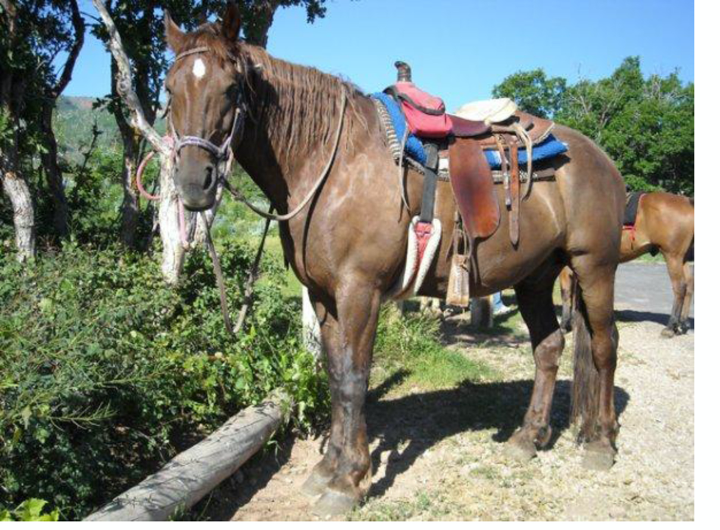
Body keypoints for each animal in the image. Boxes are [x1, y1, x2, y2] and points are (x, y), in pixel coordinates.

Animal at [162, 6, 624, 512]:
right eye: (169, 89)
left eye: (230, 88)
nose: (194, 183)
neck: (334, 162)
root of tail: (599, 157)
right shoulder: (324, 295)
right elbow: (335, 374)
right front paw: (328, 469)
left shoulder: (359, 291)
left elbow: (354, 377)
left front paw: (349, 481)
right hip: (536, 277)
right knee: (548, 347)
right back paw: (529, 437)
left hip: (594, 267)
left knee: (605, 346)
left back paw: (601, 443)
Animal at [560, 192, 696, 336]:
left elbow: (566, 292)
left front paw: (564, 325)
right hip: (682, 258)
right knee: (689, 286)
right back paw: (683, 324)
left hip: (672, 256)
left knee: (680, 287)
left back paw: (671, 327)